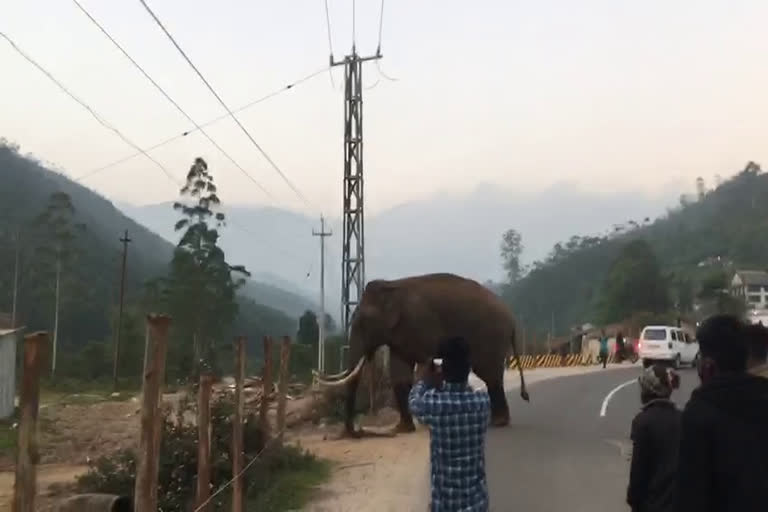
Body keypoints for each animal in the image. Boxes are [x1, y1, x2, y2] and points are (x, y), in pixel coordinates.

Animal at [316, 274, 528, 434]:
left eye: (362, 323)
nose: (354, 432)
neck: (392, 286)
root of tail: (511, 317)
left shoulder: (420, 325)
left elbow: (426, 364)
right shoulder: (400, 335)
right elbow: (400, 375)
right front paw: (401, 429)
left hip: (489, 336)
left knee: (489, 373)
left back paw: (498, 422)